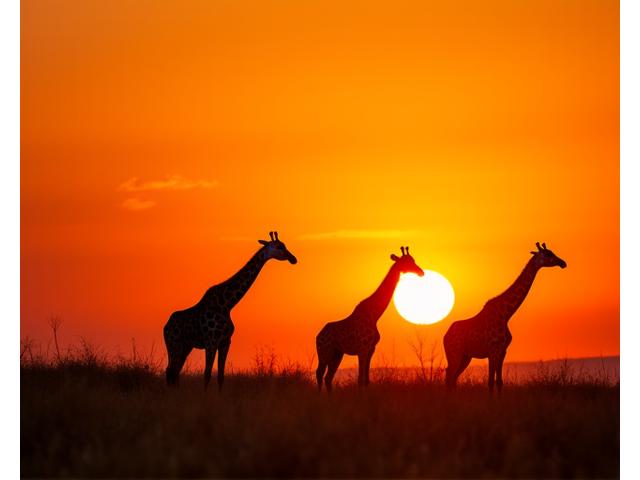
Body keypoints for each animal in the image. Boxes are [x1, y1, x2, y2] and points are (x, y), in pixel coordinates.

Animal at [163, 231, 297, 389]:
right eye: (279, 247)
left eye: (284, 245)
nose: (293, 259)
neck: (227, 304)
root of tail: (165, 327)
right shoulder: (211, 341)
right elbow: (207, 374)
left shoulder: (225, 342)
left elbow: (221, 376)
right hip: (174, 344)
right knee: (170, 371)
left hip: (185, 346)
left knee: (174, 372)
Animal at [315, 247, 424, 392]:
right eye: (407, 263)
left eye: (413, 260)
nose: (421, 272)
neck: (374, 315)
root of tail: (318, 336)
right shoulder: (362, 349)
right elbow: (360, 380)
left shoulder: (371, 349)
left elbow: (366, 380)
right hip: (325, 352)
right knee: (319, 373)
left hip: (337, 354)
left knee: (328, 378)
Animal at [443, 242, 567, 393]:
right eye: (548, 254)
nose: (563, 263)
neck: (506, 315)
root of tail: (445, 336)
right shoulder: (492, 351)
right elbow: (490, 382)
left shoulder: (503, 351)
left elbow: (499, 381)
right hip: (455, 354)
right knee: (449, 375)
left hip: (465, 357)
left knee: (453, 378)